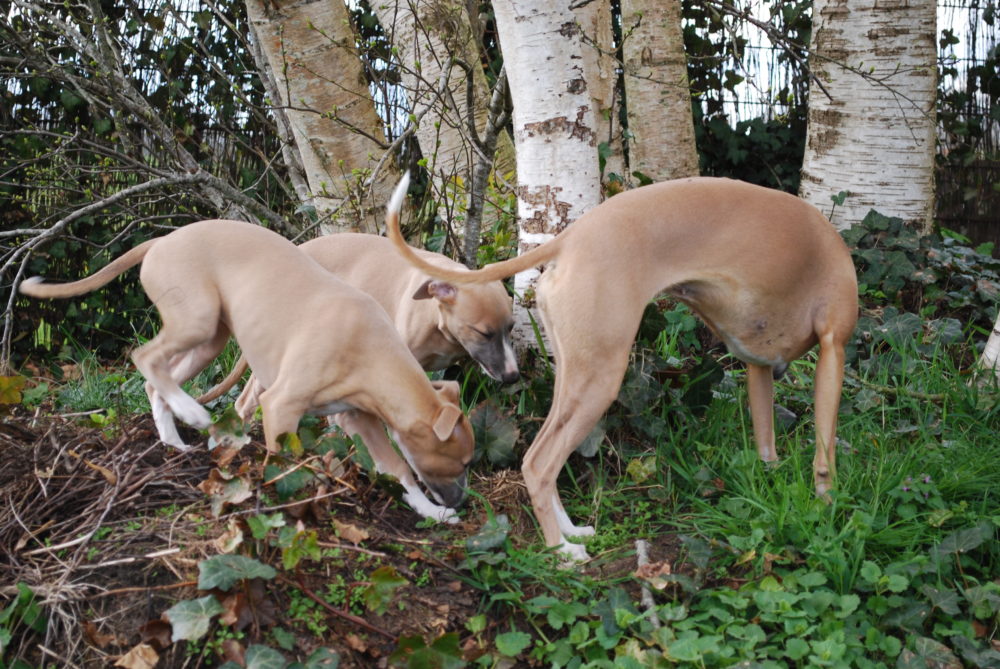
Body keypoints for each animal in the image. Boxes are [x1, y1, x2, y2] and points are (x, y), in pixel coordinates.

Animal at [21, 220, 474, 520]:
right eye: (465, 463)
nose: (461, 501)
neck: (371, 351)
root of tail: (164, 239)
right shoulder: (281, 406)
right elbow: (281, 461)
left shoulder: (358, 417)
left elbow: (398, 467)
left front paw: (429, 511)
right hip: (198, 320)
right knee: (144, 357)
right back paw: (192, 413)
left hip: (209, 341)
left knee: (155, 382)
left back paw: (174, 440)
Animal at [382, 172, 860, 560]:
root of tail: (571, 237)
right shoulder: (833, 350)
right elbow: (825, 452)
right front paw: (827, 510)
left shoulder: (758, 370)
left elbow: (766, 444)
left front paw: (772, 483)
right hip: (601, 381)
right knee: (538, 464)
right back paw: (562, 552)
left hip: (575, 377)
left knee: (541, 457)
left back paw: (572, 533)